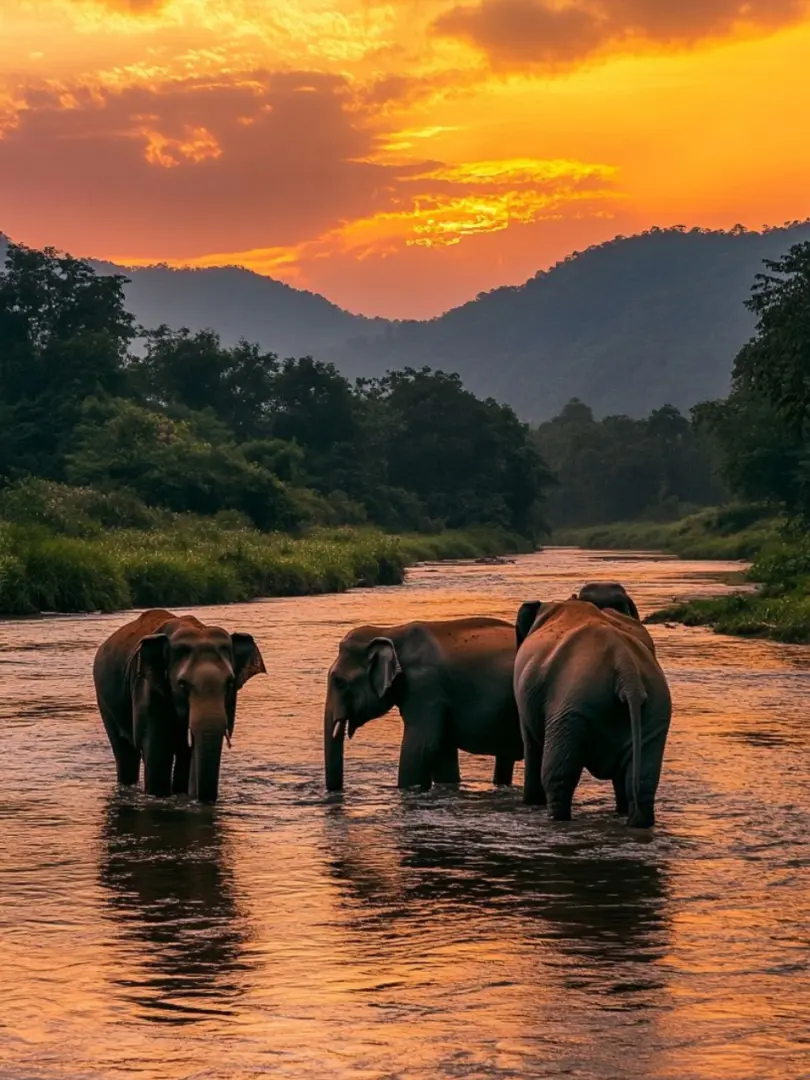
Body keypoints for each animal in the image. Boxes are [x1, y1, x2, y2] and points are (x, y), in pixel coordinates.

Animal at [93, 609, 266, 803]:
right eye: (182, 684)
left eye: (229, 683)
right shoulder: (146, 688)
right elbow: (157, 753)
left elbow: (188, 755)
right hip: (105, 703)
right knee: (124, 753)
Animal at [513, 599, 671, 827]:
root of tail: (626, 669)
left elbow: (531, 744)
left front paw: (531, 803)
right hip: (656, 708)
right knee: (641, 776)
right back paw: (637, 821)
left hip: (572, 705)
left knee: (558, 775)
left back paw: (557, 818)